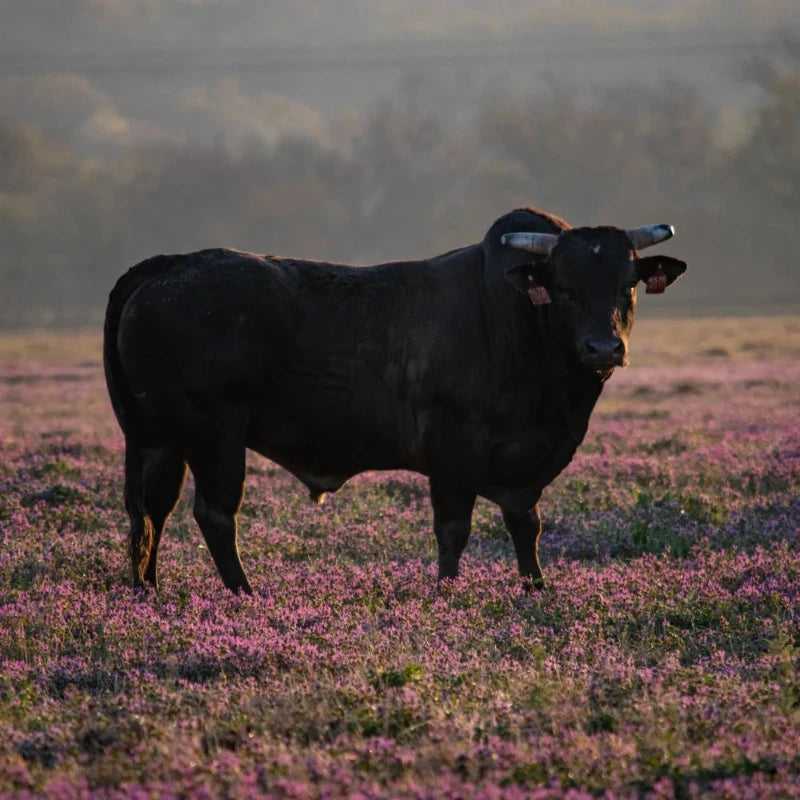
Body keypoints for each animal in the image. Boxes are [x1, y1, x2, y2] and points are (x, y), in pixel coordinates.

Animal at [103, 206, 684, 592]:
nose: (603, 347)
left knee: (149, 511)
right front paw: (447, 595)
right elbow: (453, 529)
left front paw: (536, 589)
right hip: (213, 438)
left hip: (156, 439)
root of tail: (166, 267)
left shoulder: (523, 467)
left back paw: (148, 591)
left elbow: (527, 527)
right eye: (562, 285)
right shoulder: (454, 450)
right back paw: (245, 594)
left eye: (627, 284)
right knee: (215, 514)